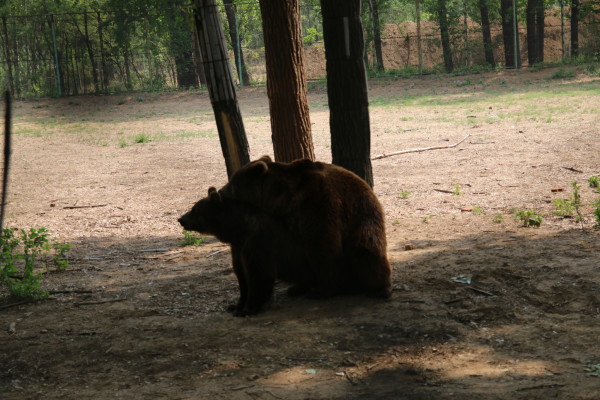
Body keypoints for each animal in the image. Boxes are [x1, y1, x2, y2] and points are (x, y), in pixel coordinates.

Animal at [218, 156, 392, 300]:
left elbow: (323, 246)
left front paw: (323, 289)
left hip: (365, 223)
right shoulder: (288, 220)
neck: (283, 198)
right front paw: (301, 286)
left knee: (365, 251)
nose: (220, 191)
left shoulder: (318, 202)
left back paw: (377, 288)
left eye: (232, 183)